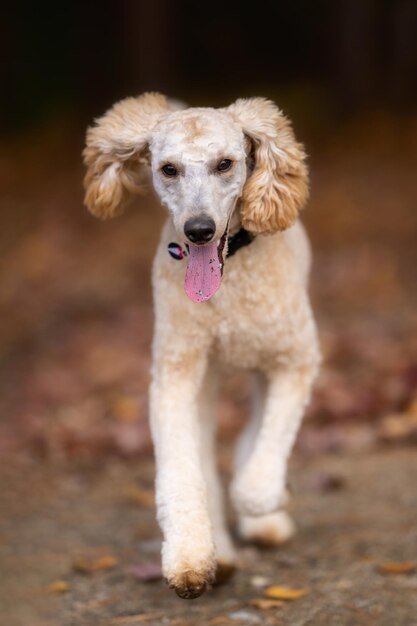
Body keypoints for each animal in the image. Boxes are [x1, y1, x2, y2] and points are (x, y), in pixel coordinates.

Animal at [83, 91, 320, 596]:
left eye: (225, 163)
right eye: (168, 168)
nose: (198, 230)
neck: (230, 281)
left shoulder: (295, 361)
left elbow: (258, 468)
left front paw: (264, 502)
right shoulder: (175, 376)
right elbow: (181, 470)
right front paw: (189, 559)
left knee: (253, 434)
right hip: (205, 382)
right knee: (206, 461)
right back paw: (221, 555)